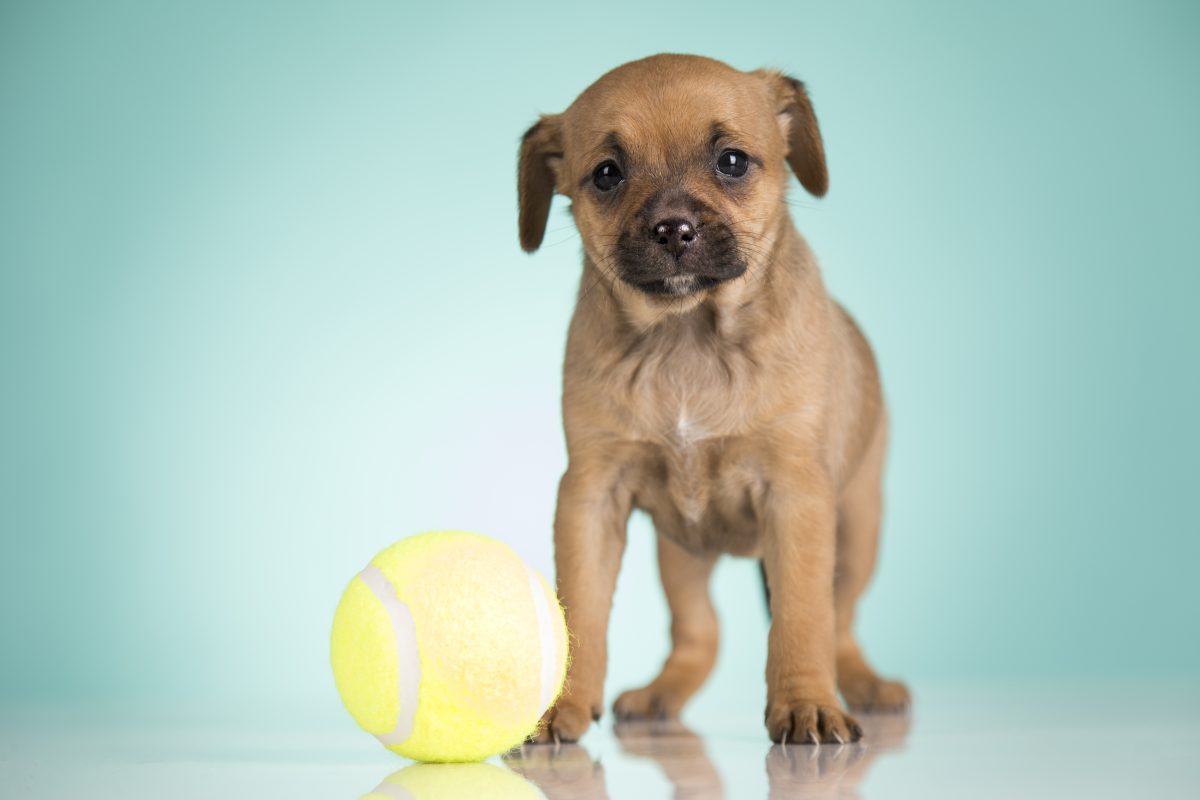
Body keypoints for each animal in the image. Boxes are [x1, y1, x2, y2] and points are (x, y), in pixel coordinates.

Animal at [518, 54, 907, 743]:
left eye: (731, 161)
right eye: (607, 174)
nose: (674, 229)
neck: (687, 335)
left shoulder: (797, 497)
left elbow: (803, 616)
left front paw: (806, 702)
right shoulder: (591, 496)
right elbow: (581, 611)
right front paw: (563, 706)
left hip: (858, 527)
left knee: (841, 623)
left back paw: (864, 685)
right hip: (680, 553)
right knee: (701, 632)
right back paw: (661, 694)